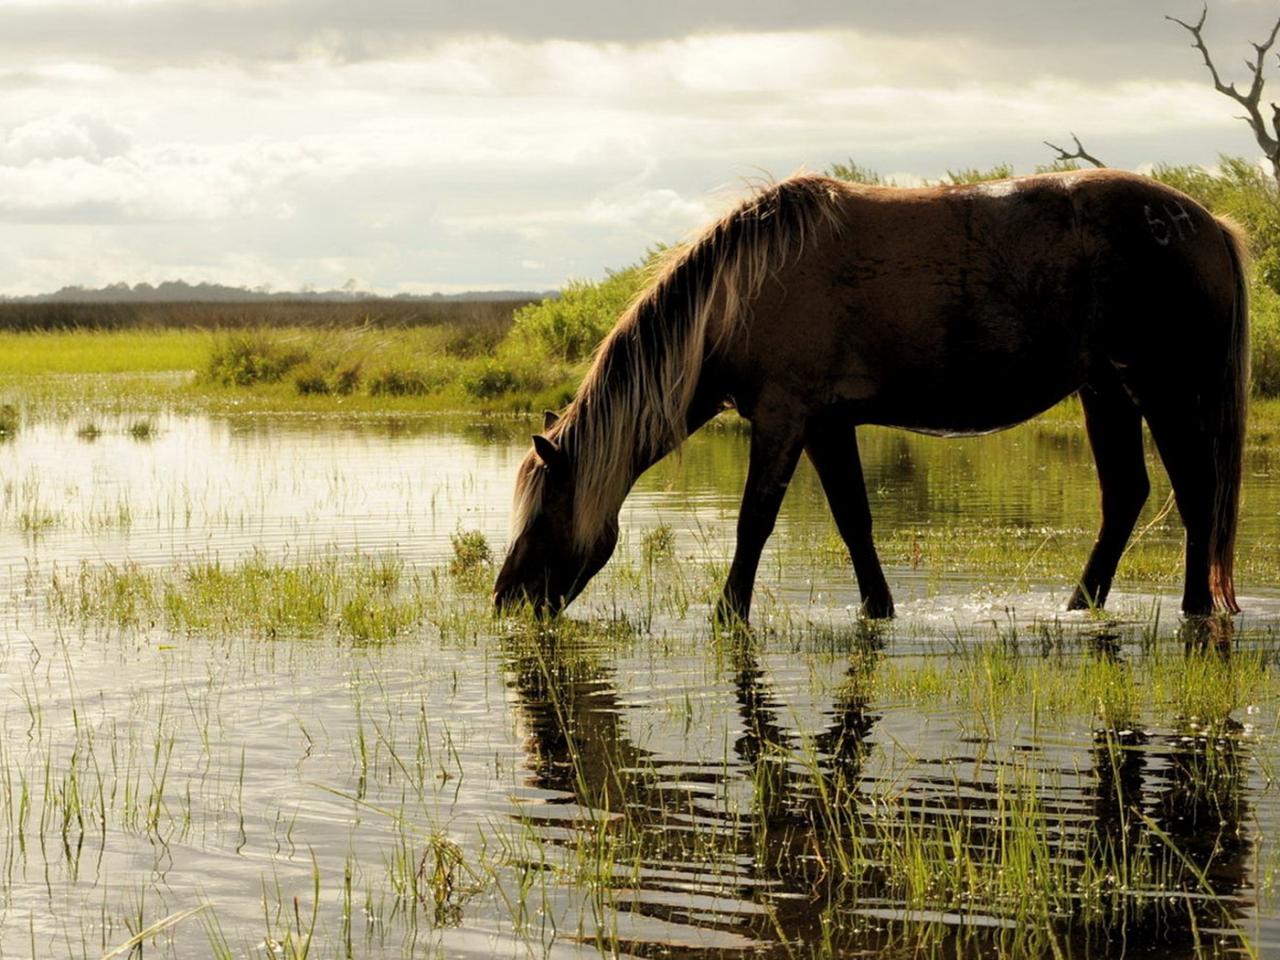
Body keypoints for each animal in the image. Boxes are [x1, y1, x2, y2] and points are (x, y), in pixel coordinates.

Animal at [491, 170, 1249, 627]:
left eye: (545, 512)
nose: (506, 600)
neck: (741, 291)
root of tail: (1209, 223)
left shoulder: (783, 419)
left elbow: (754, 522)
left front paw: (728, 614)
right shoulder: (827, 426)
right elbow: (854, 520)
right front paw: (877, 610)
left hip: (1164, 389)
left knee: (1196, 492)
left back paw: (1194, 610)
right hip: (1106, 391)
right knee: (1126, 496)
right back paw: (1078, 606)